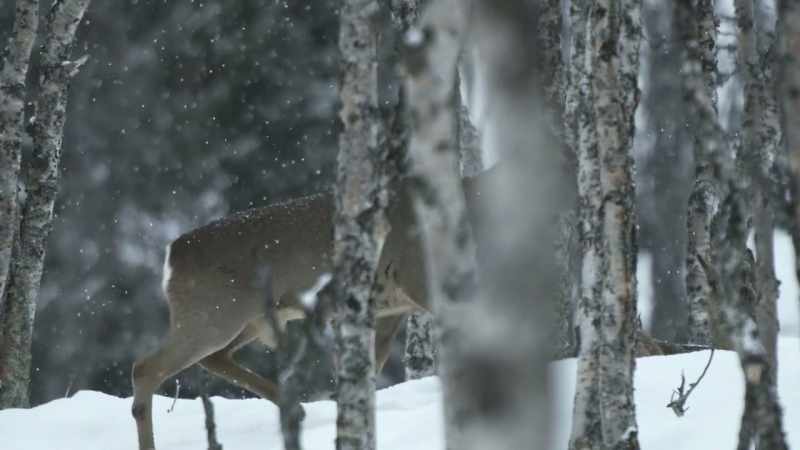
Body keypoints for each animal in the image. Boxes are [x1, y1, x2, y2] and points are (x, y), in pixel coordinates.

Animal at [130, 165, 495, 450]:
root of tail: (173, 253)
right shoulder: (418, 277)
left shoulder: (390, 311)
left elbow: (369, 369)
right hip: (214, 313)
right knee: (147, 367)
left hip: (247, 319)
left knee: (213, 358)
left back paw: (297, 408)